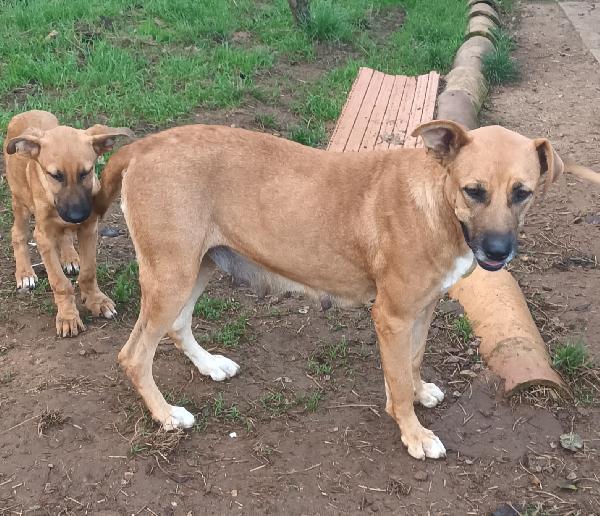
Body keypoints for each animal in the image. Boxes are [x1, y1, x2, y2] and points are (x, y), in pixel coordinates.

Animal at [4, 110, 133, 336]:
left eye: (86, 173)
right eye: (55, 175)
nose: (76, 216)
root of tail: (27, 112)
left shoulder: (89, 229)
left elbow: (88, 272)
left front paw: (96, 301)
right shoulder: (43, 237)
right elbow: (59, 282)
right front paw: (68, 316)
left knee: (64, 235)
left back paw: (70, 257)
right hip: (20, 202)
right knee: (17, 234)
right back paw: (25, 273)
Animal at [95, 120, 564, 460]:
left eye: (523, 193)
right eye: (474, 191)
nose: (498, 252)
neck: (436, 203)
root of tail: (143, 146)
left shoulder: (423, 308)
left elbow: (412, 362)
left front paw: (418, 391)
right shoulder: (392, 316)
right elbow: (397, 382)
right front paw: (413, 433)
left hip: (200, 266)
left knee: (177, 326)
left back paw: (209, 365)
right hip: (172, 276)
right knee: (134, 356)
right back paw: (166, 415)